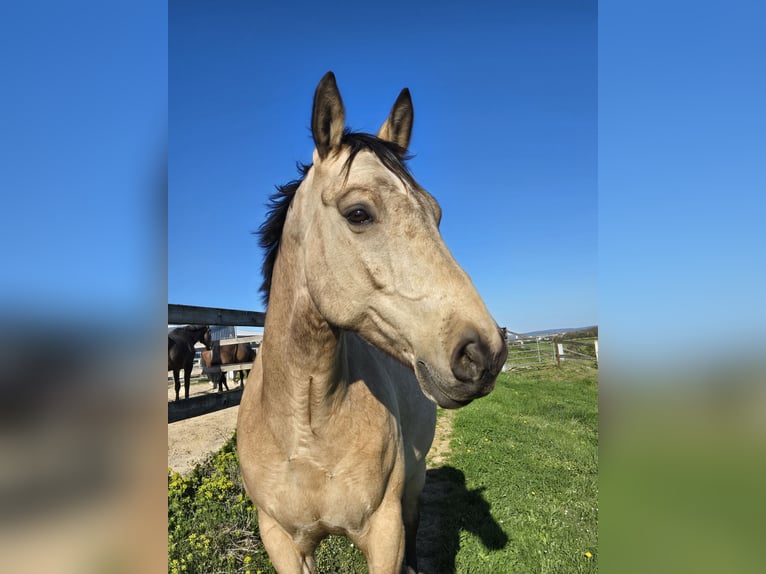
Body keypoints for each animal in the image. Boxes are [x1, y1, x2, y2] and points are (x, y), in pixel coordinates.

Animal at [237, 72, 507, 574]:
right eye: (358, 213)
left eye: (436, 214)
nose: (485, 352)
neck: (306, 429)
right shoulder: (281, 541)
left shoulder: (384, 532)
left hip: (413, 486)